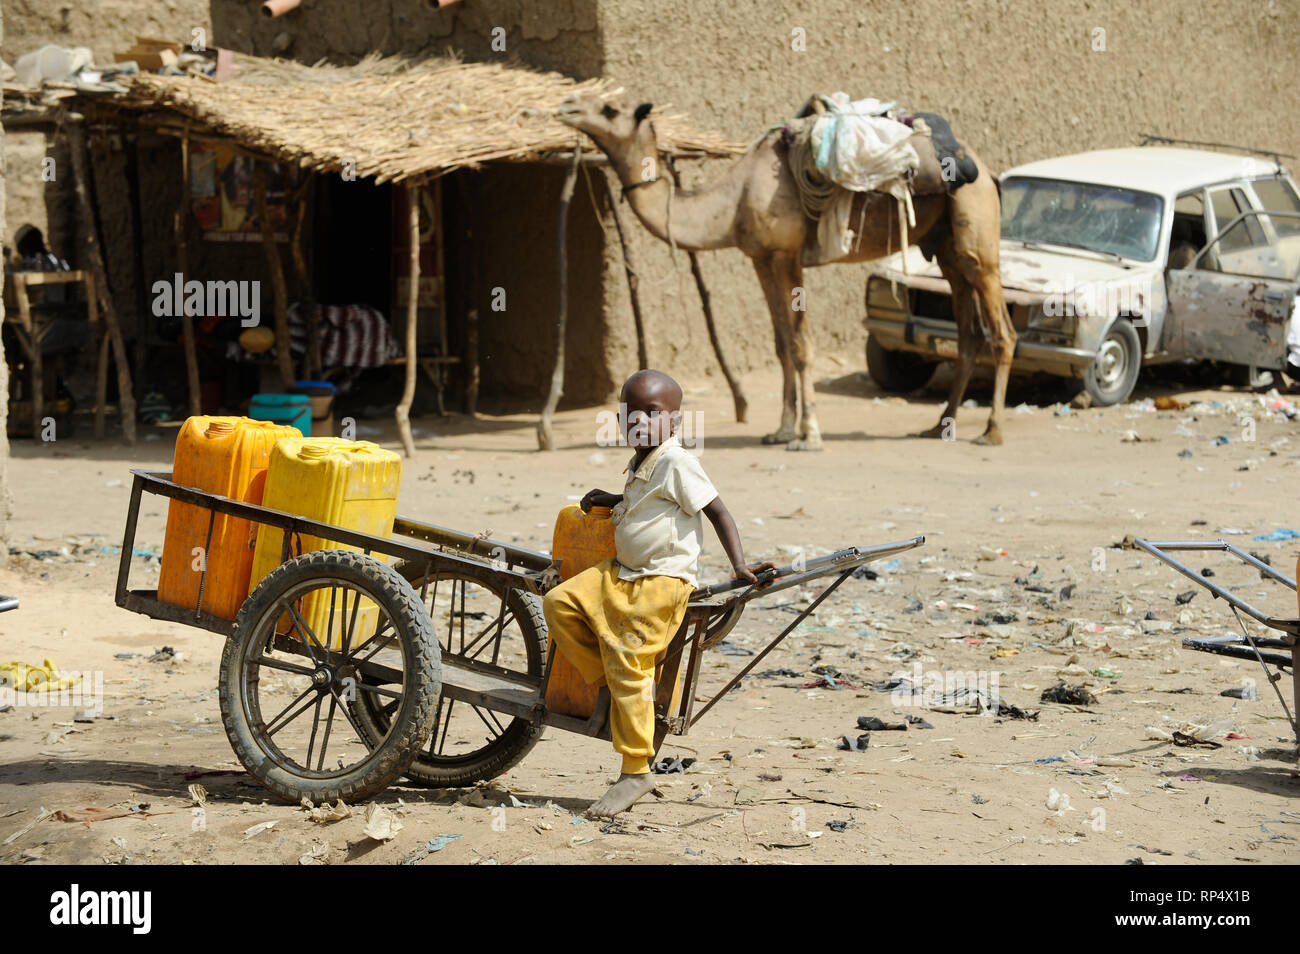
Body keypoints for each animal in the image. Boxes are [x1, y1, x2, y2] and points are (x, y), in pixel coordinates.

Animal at [556, 90, 1013, 447]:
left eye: (610, 108)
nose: (565, 106)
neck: (734, 199)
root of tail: (987, 171)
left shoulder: (788, 256)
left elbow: (801, 344)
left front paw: (809, 435)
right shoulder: (761, 258)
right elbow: (781, 346)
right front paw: (780, 431)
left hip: (978, 230)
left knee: (1001, 331)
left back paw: (991, 431)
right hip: (947, 248)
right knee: (968, 333)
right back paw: (939, 426)